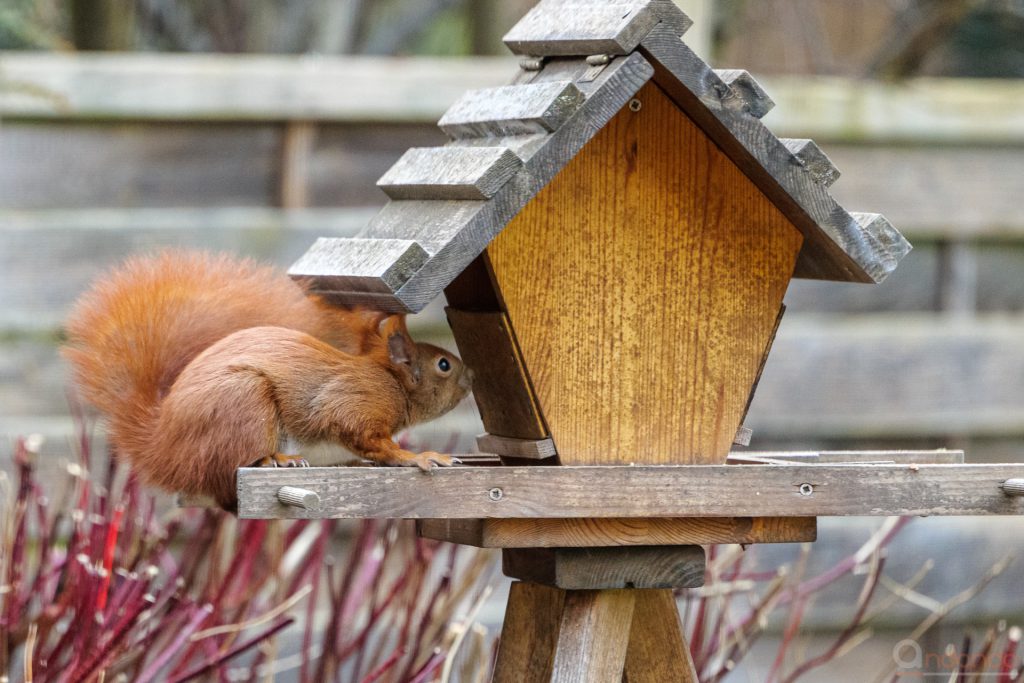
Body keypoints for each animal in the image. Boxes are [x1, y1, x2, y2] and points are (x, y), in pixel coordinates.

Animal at [66, 248, 473, 509]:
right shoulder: (358, 404)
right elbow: (372, 441)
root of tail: (164, 447)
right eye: (443, 364)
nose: (470, 374)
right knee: (228, 469)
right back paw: (277, 460)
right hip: (244, 404)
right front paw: (421, 458)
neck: (391, 381)